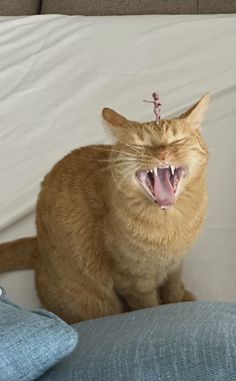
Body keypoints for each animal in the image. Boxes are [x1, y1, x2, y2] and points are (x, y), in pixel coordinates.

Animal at [0, 93, 210, 322]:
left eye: (177, 140)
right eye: (140, 145)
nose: (163, 153)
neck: (171, 224)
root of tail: (38, 245)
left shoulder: (175, 266)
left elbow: (173, 289)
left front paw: (180, 298)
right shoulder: (133, 283)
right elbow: (150, 306)